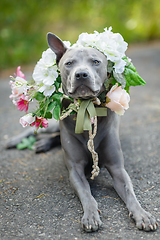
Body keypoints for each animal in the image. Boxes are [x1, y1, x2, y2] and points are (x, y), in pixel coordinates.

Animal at [5, 32, 158, 232]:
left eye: (95, 61)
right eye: (69, 63)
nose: (81, 74)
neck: (87, 108)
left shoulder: (118, 168)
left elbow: (130, 193)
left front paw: (143, 215)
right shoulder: (75, 170)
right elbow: (87, 194)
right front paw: (91, 215)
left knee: (55, 138)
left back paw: (43, 144)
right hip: (54, 123)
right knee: (37, 130)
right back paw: (14, 141)